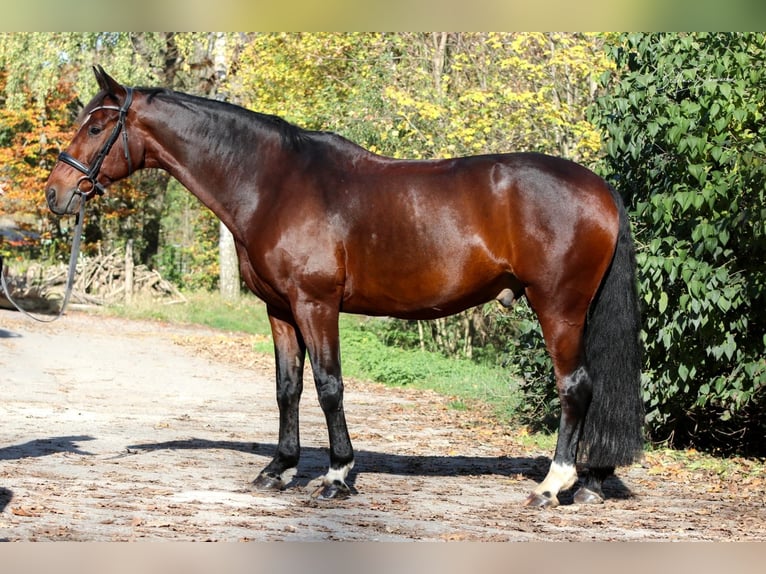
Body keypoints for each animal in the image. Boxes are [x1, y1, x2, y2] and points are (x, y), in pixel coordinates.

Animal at [42, 66, 644, 508]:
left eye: (95, 127)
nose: (55, 193)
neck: (272, 184)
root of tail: (600, 189)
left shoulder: (317, 305)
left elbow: (329, 386)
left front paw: (336, 475)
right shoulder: (280, 310)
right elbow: (287, 388)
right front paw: (278, 470)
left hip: (558, 307)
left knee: (575, 387)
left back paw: (553, 485)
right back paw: (588, 484)